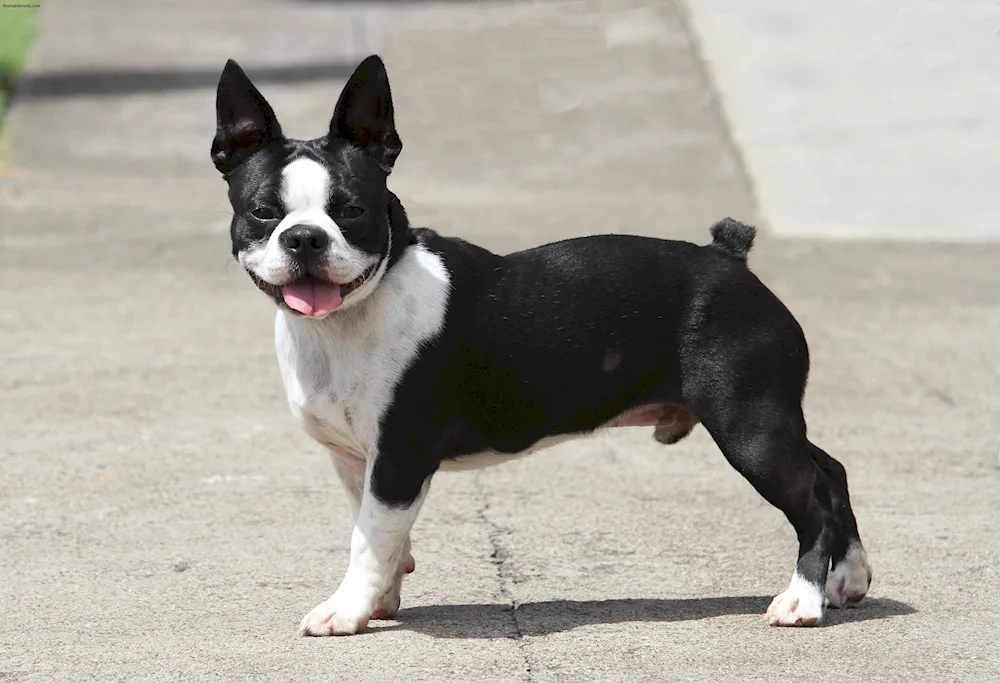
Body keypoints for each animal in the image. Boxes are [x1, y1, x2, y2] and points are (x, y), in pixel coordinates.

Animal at [213, 56, 876, 640]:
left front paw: (346, 611)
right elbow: (379, 533)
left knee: (809, 500)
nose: (304, 237)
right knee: (829, 470)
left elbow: (368, 539)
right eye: (262, 212)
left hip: (749, 425)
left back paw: (802, 600)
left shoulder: (398, 457)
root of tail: (729, 257)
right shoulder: (357, 461)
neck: (349, 317)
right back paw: (849, 578)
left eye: (351, 211)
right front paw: (380, 600)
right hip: (767, 416)